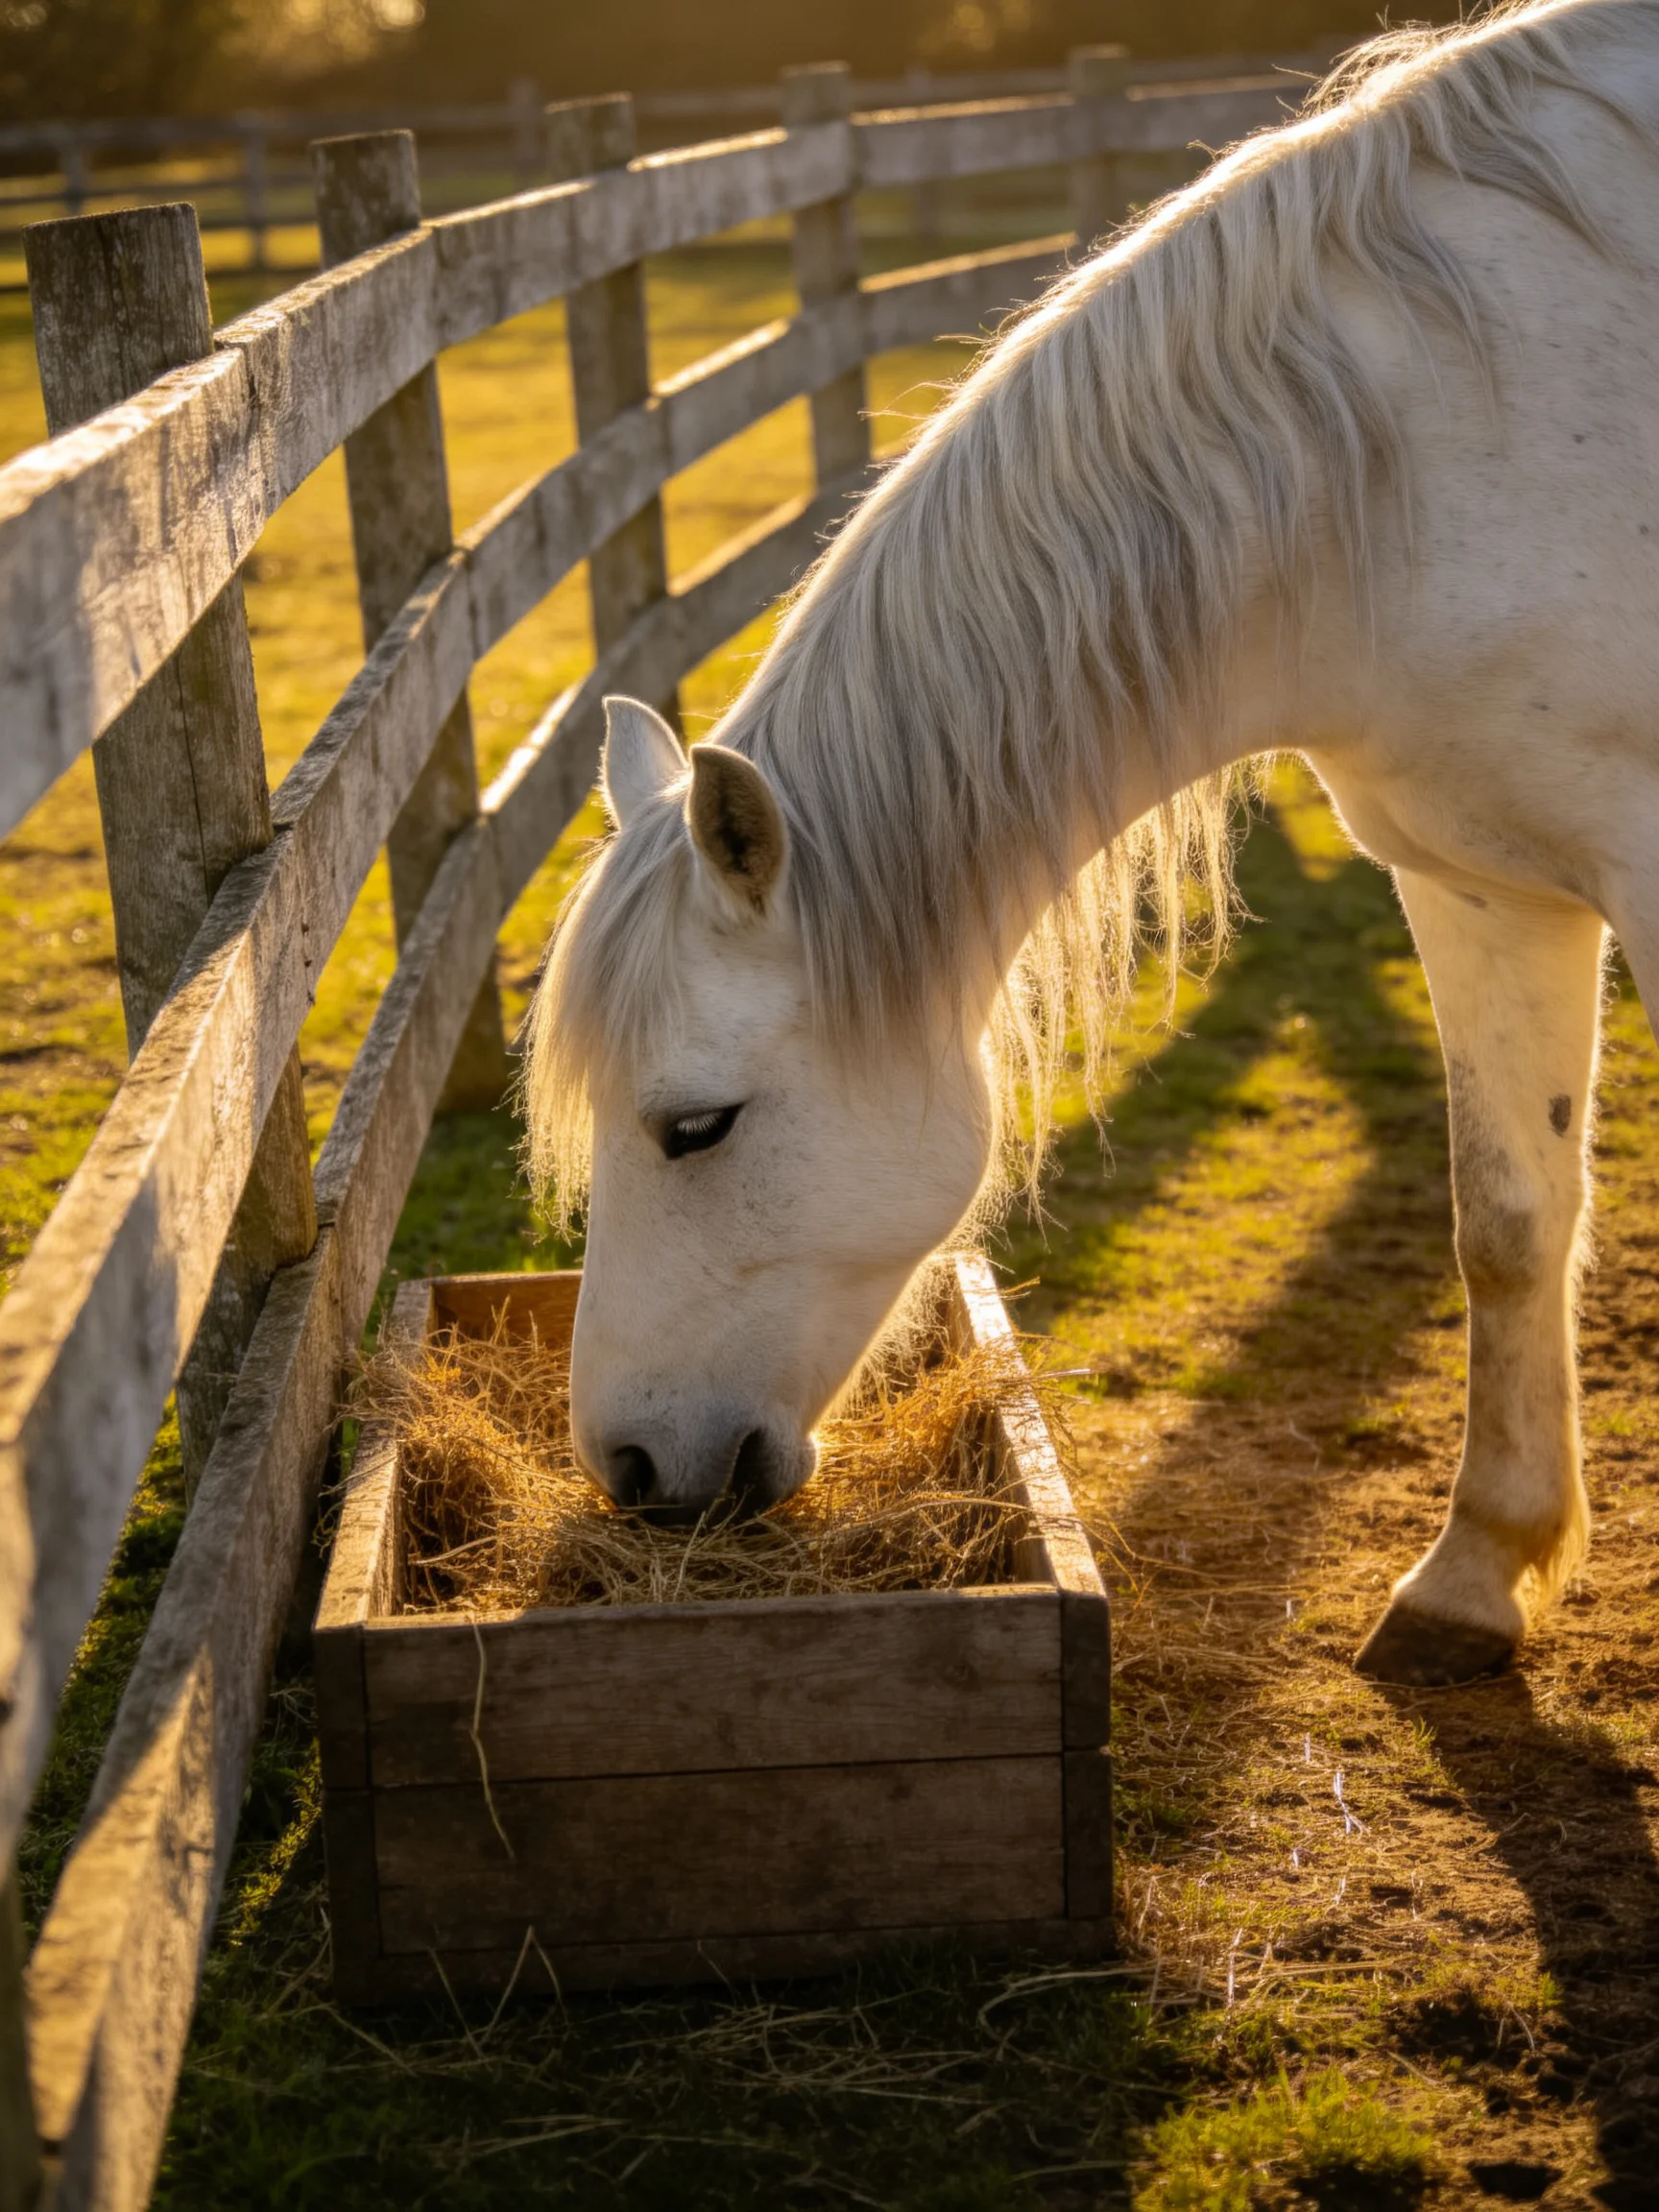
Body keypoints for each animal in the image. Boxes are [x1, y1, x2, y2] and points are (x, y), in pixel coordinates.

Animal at [524, 0, 1659, 1687]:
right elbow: (1509, 1223)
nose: (632, 1468)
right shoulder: (1478, 887)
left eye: (697, 1126)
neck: (1448, 438)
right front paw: (1475, 1575)